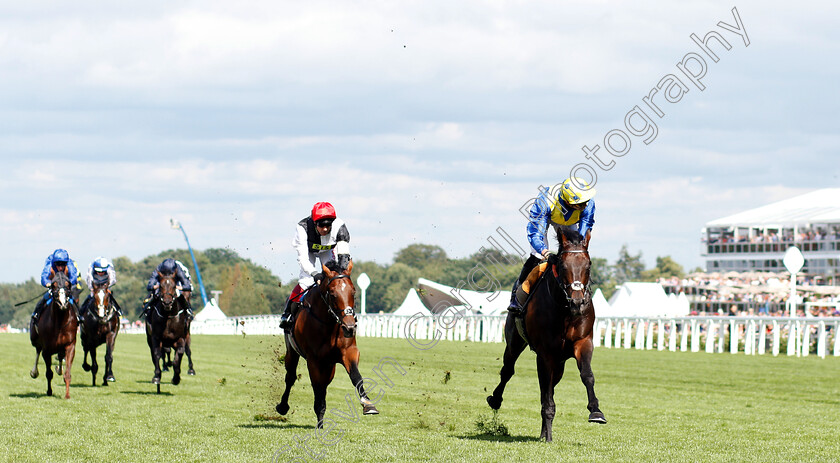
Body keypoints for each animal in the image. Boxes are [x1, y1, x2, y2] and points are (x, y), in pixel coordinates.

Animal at [278, 260, 378, 428]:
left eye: (353, 292)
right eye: (332, 294)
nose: (349, 327)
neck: (328, 324)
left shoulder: (349, 351)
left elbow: (356, 377)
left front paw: (368, 404)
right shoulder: (314, 360)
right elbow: (317, 389)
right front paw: (320, 425)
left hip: (329, 366)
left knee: (324, 384)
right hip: (292, 351)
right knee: (290, 377)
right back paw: (283, 406)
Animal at [488, 227, 608, 442]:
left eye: (588, 265)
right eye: (562, 265)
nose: (578, 303)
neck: (565, 311)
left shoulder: (583, 342)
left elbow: (587, 375)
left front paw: (596, 411)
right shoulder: (545, 353)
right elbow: (546, 395)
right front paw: (549, 435)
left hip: (558, 363)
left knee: (548, 387)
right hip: (515, 343)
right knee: (508, 370)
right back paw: (496, 400)